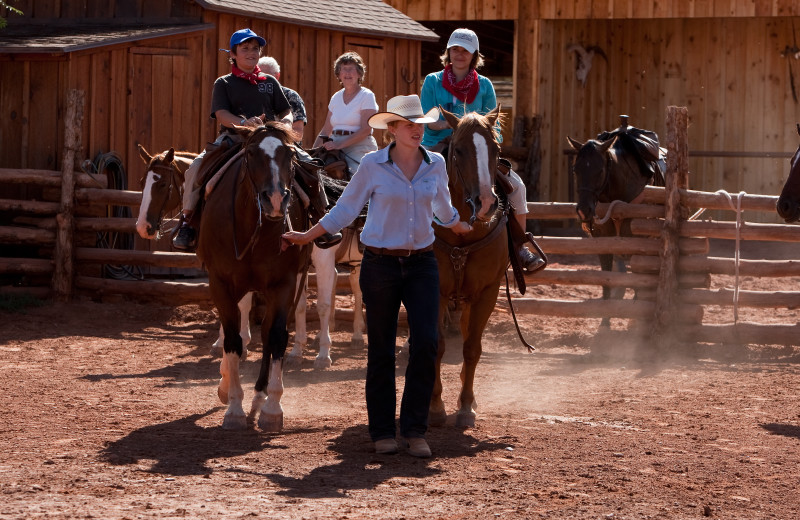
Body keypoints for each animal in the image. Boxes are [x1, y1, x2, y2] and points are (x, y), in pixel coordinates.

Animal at [198, 122, 310, 430]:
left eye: (290, 154)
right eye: (250, 153)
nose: (275, 199)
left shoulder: (283, 284)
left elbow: (276, 337)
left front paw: (272, 407)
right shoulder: (221, 284)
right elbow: (233, 340)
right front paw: (234, 406)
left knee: (267, 334)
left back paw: (259, 396)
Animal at [428, 107, 510, 428]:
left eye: (496, 149)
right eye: (459, 150)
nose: (486, 203)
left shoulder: (487, 292)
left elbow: (472, 347)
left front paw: (466, 406)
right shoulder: (435, 292)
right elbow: (436, 347)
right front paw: (435, 407)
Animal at [564, 117, 664, 328]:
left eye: (600, 169)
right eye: (576, 169)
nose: (584, 210)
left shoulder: (640, 243)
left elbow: (639, 278)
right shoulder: (605, 242)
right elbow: (607, 279)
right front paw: (605, 322)